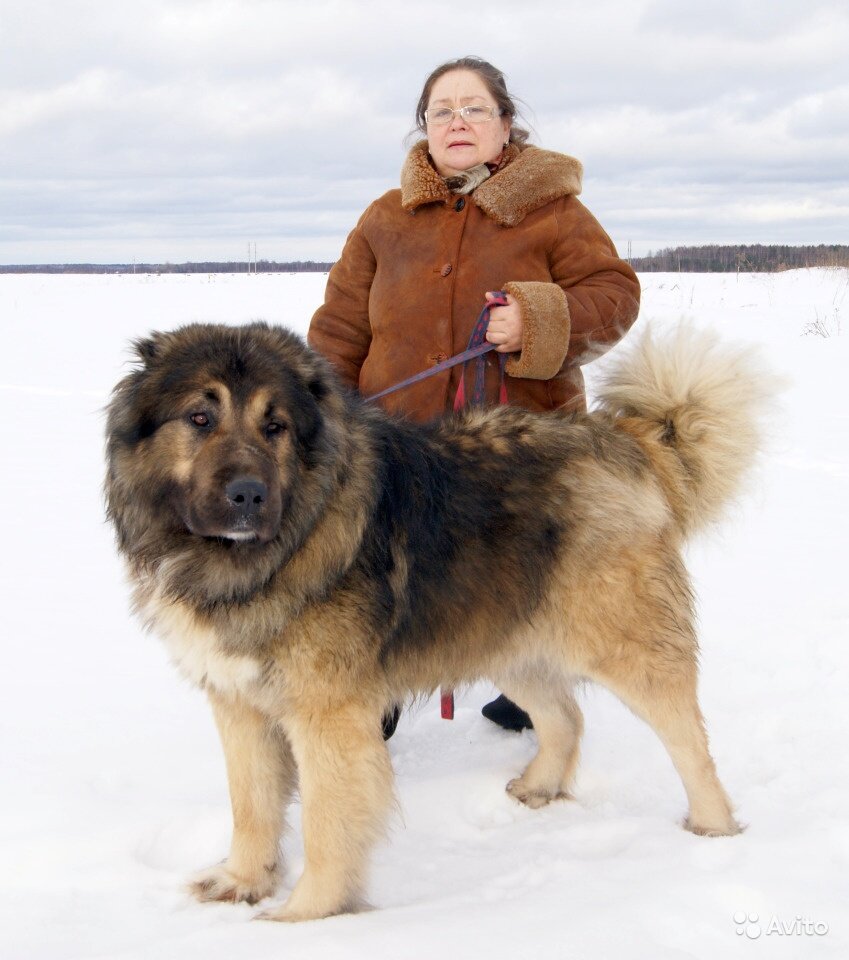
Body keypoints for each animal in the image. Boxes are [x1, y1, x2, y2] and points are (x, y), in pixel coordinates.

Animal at [104, 322, 768, 924]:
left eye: (277, 426)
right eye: (199, 418)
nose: (247, 496)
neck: (265, 553)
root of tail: (629, 440)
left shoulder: (328, 717)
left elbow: (326, 821)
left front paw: (304, 918)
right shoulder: (238, 702)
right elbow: (252, 803)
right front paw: (243, 881)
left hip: (627, 643)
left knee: (688, 741)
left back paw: (713, 829)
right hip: (506, 637)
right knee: (565, 717)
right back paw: (539, 787)